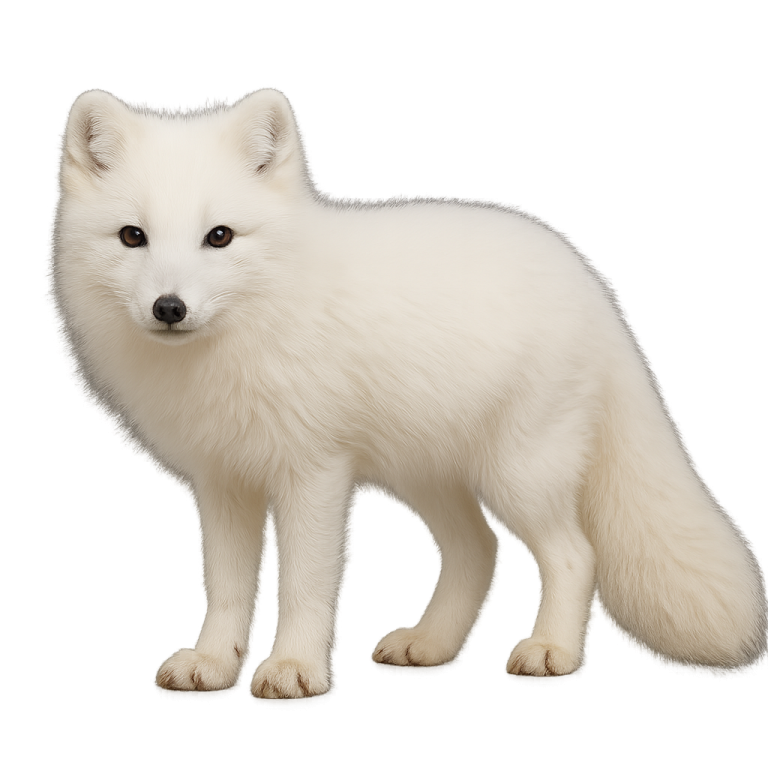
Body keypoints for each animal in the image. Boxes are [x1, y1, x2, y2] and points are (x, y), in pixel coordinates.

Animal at [51, 87, 767, 704]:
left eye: (219, 236)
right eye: (133, 236)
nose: (169, 308)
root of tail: (596, 289)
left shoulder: (314, 472)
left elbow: (304, 583)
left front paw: (293, 669)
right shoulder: (223, 479)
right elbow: (225, 587)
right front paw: (212, 663)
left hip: (519, 473)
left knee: (572, 554)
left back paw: (551, 651)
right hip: (430, 476)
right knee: (479, 555)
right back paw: (431, 645)